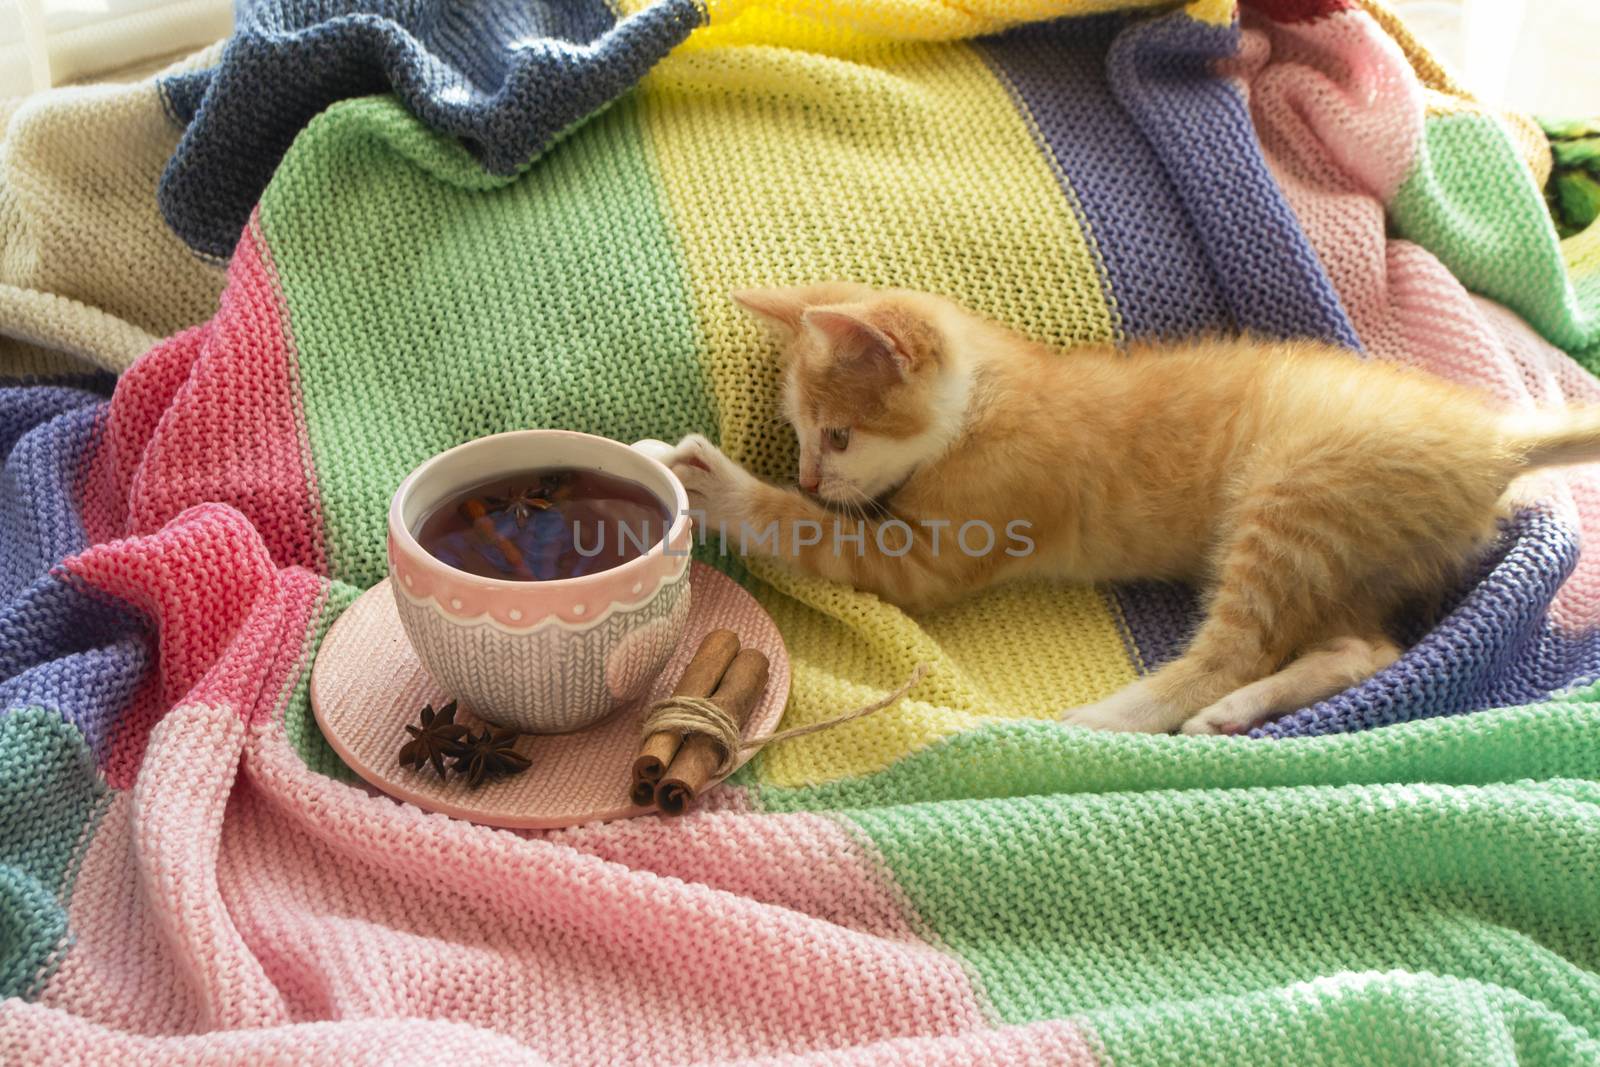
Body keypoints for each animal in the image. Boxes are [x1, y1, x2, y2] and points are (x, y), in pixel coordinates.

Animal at [662, 283, 1600, 735]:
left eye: (840, 436)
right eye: (800, 434)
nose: (814, 478)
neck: (989, 398)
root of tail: (1493, 440)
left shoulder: (939, 548)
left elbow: (818, 537)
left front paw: (719, 486)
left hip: (1293, 501)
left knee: (1239, 647)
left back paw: (1121, 715)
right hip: (1357, 551)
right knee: (1363, 648)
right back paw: (1235, 712)